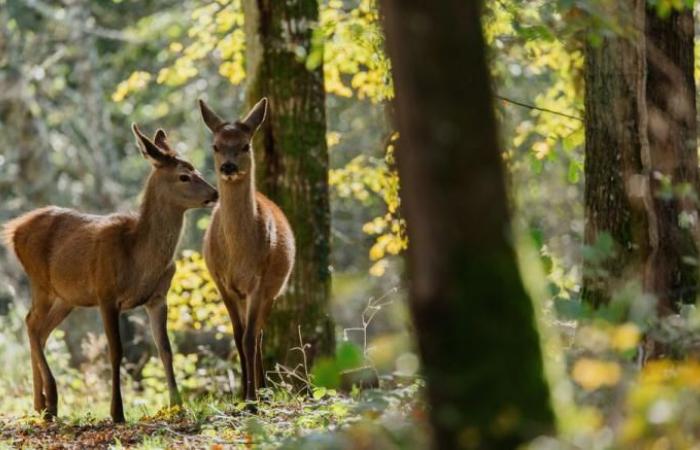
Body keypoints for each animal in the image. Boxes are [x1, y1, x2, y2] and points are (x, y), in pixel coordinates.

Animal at [0, 124, 219, 422]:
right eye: (184, 175)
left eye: (196, 170)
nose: (216, 193)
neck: (139, 258)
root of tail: (13, 230)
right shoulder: (106, 293)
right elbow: (116, 351)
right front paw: (117, 412)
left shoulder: (158, 297)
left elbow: (166, 350)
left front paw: (177, 406)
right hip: (40, 282)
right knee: (32, 325)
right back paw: (51, 401)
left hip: (67, 297)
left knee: (38, 328)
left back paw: (40, 403)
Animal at [197, 98, 296, 400]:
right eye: (215, 145)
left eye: (245, 145)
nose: (228, 167)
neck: (240, 257)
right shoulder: (222, 282)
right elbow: (238, 335)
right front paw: (241, 395)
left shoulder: (259, 282)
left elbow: (250, 337)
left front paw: (251, 399)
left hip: (274, 289)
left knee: (260, 333)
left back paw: (262, 390)